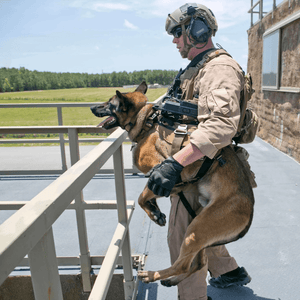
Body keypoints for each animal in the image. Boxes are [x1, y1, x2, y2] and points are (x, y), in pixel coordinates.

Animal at [90, 81, 254, 286]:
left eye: (109, 103)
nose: (92, 107)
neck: (147, 122)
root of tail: (249, 211)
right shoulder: (172, 184)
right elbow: (147, 196)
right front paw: (155, 210)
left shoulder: (160, 174)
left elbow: (141, 197)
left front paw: (154, 214)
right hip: (199, 229)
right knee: (198, 263)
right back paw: (173, 280)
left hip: (196, 230)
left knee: (183, 264)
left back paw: (152, 274)